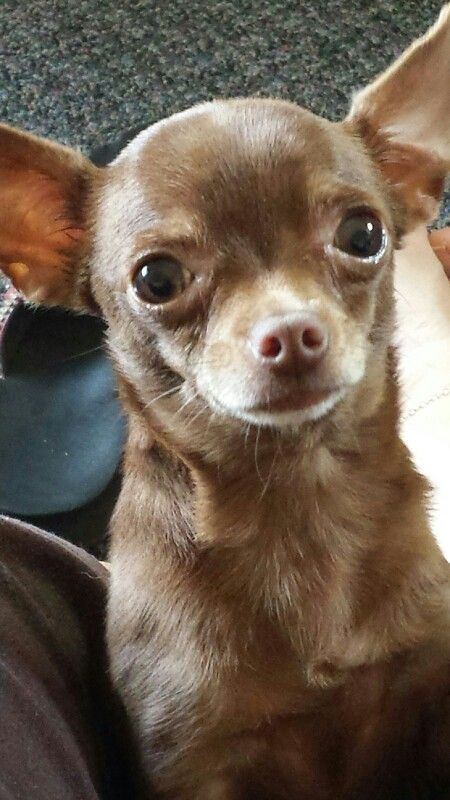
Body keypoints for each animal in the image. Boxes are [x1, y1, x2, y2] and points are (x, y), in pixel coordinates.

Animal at [1, 6, 450, 798]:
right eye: (157, 279)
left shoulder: (430, 681)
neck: (300, 496)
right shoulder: (193, 760)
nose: (291, 333)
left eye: (363, 234)